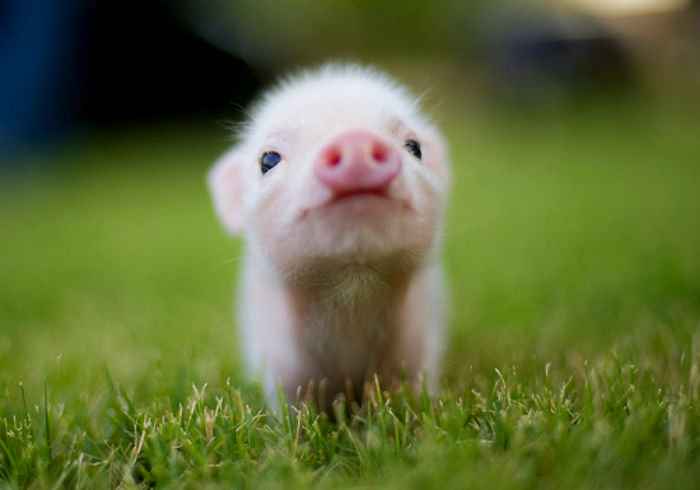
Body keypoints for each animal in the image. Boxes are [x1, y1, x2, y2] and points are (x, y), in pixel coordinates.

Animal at [209, 64, 450, 408]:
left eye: (414, 147)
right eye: (268, 159)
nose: (354, 139)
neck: (351, 296)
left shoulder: (423, 339)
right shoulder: (278, 361)